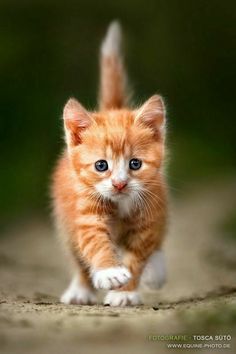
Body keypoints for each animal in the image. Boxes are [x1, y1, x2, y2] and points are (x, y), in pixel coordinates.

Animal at [51, 20, 168, 306]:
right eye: (101, 166)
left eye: (135, 164)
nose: (119, 184)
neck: (120, 204)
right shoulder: (84, 212)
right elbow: (93, 241)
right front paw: (109, 272)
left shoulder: (149, 215)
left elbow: (138, 255)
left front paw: (124, 292)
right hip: (64, 218)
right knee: (77, 256)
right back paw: (81, 288)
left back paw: (156, 270)